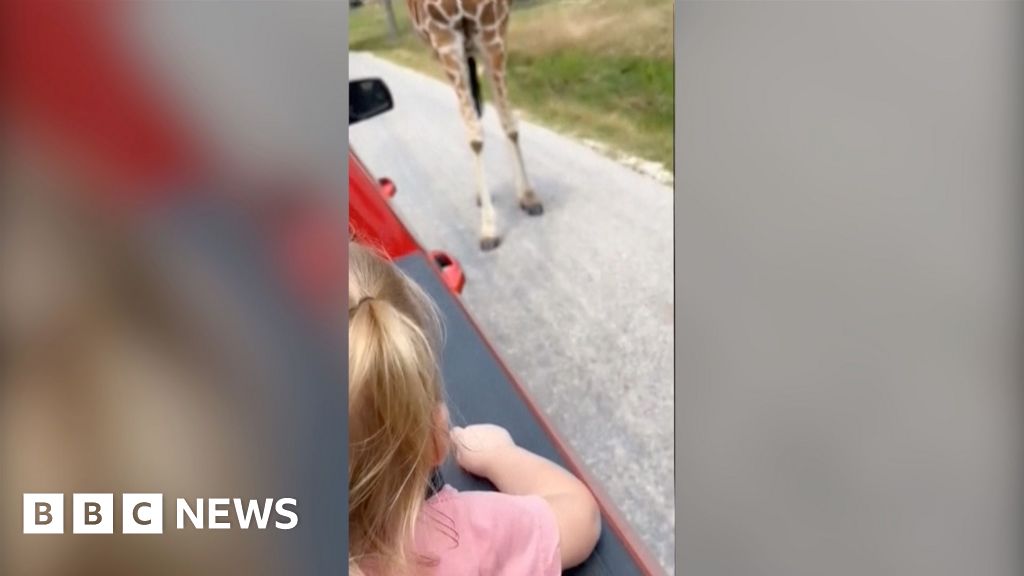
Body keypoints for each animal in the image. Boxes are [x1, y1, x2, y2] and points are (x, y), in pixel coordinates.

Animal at [405, 0, 544, 249]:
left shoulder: (491, 32)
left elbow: (508, 122)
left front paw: (529, 197)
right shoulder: (445, 39)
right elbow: (475, 136)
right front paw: (489, 227)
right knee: (471, 118)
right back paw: (481, 195)